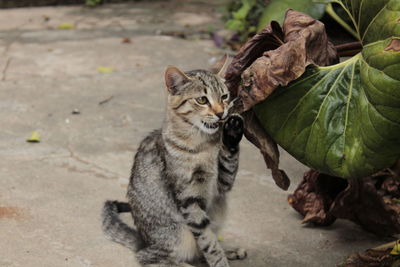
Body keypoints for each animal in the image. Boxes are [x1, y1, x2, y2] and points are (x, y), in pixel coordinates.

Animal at [102, 61, 247, 267]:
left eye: (224, 96)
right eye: (202, 100)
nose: (221, 113)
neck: (204, 144)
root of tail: (143, 241)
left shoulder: (222, 186)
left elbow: (229, 160)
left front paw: (233, 130)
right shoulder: (189, 200)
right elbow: (208, 241)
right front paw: (220, 262)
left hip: (219, 208)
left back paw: (231, 251)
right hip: (178, 233)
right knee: (151, 257)